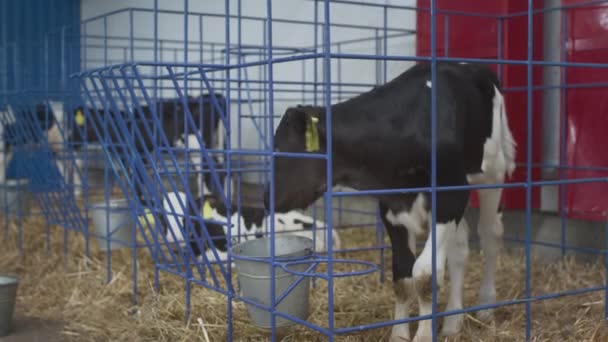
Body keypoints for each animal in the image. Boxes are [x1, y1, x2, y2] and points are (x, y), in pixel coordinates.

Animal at [264, 62, 516, 342]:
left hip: (492, 172)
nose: (265, 198)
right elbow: (403, 276)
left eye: (282, 152)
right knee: (459, 248)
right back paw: (453, 320)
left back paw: (486, 307)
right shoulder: (392, 207)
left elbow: (425, 274)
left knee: (490, 236)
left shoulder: (449, 197)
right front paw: (400, 334)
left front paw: (423, 336)